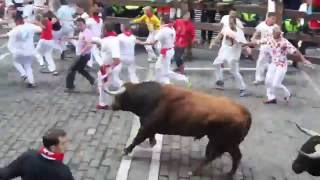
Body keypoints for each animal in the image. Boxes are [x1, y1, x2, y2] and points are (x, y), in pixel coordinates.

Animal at [106, 82, 251, 176]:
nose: (111, 106)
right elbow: (148, 136)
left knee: (213, 156)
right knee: (236, 156)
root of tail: (244, 112)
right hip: (227, 143)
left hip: (220, 141)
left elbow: (137, 139)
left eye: (117, 96)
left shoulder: (146, 126)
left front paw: (125, 150)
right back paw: (230, 173)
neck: (152, 98)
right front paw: (152, 142)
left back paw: (193, 172)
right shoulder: (149, 127)